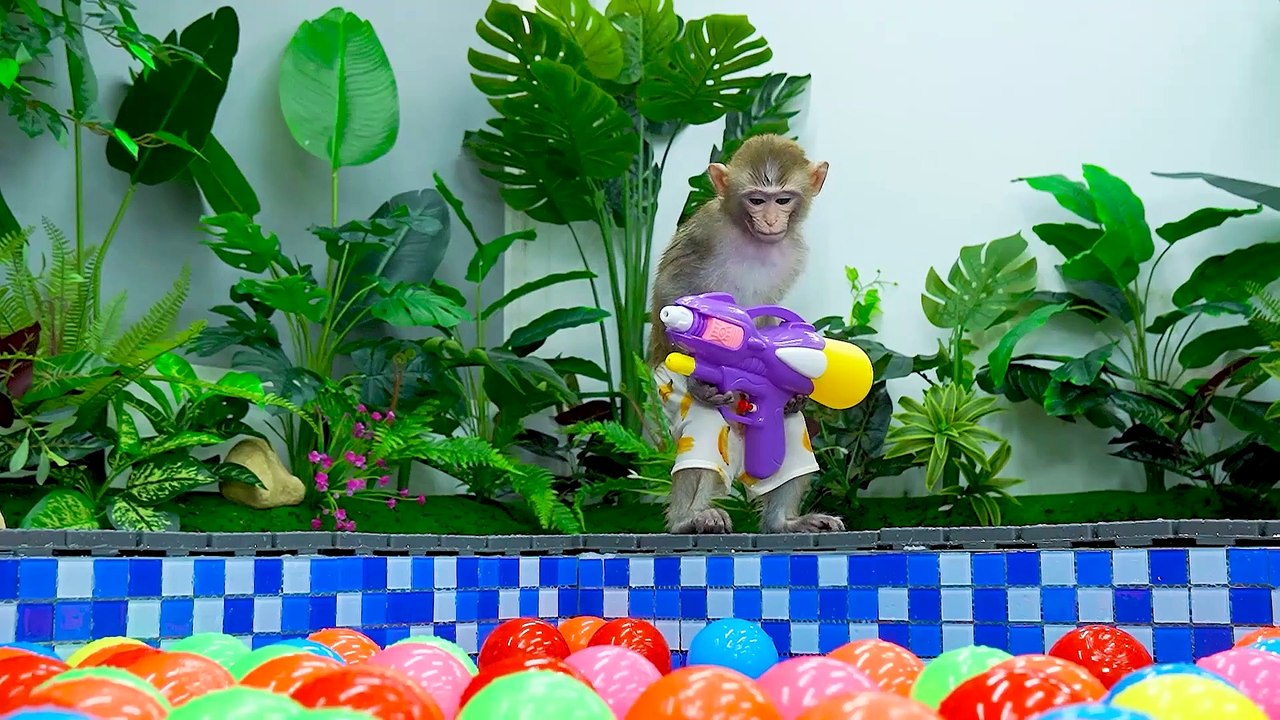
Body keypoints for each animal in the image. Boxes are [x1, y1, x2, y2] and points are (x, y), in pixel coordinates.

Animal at [646, 134, 845, 535]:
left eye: (782, 200)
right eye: (756, 200)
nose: (769, 220)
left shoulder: (793, 251)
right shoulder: (705, 231)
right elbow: (671, 291)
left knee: (788, 428)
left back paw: (783, 522)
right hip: (668, 392)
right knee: (705, 425)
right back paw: (688, 518)